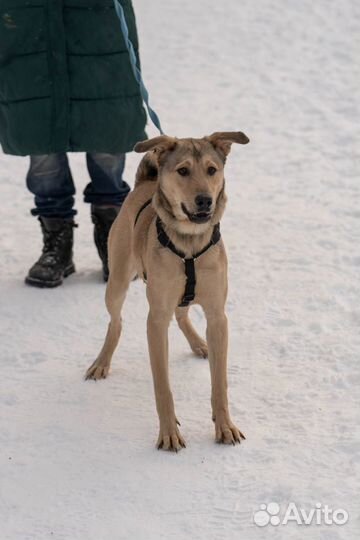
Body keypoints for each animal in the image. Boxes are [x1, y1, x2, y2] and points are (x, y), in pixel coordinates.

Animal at [85, 132, 249, 452]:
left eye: (212, 170)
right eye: (183, 170)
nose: (204, 200)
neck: (190, 244)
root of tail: (144, 183)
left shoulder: (218, 317)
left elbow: (219, 383)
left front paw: (224, 426)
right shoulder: (156, 321)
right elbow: (163, 386)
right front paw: (169, 432)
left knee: (182, 313)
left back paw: (199, 344)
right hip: (117, 281)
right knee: (116, 321)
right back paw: (101, 362)